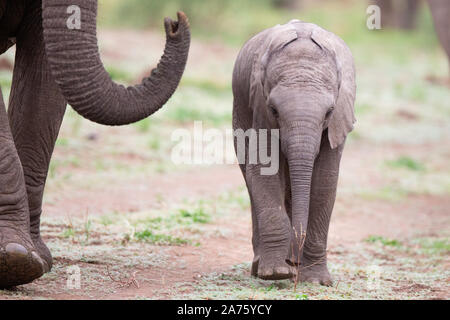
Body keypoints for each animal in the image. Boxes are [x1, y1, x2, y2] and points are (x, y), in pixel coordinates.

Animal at [232, 20, 356, 284]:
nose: (295, 263)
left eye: (330, 112)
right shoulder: (259, 109)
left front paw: (317, 280)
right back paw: (264, 266)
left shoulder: (337, 123)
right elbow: (264, 172)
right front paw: (276, 273)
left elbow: (325, 181)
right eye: (274, 110)